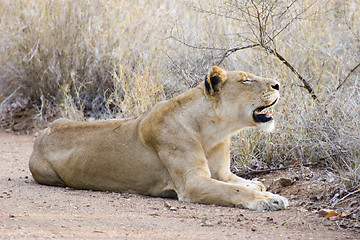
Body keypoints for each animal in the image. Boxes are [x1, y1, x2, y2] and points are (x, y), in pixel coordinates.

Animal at [30, 65, 290, 210]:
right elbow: (235, 191)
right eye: (246, 79)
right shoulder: (192, 183)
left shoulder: (221, 173)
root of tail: (41, 135)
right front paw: (269, 199)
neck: (215, 131)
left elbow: (236, 182)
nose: (278, 84)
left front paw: (258, 186)